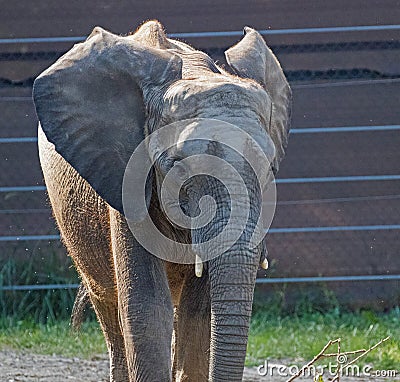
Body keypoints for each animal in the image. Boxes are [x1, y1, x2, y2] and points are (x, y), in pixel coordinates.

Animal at [32, 20, 290, 382]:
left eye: (270, 168)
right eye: (176, 164)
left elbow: (198, 313)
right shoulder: (126, 178)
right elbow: (147, 309)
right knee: (110, 308)